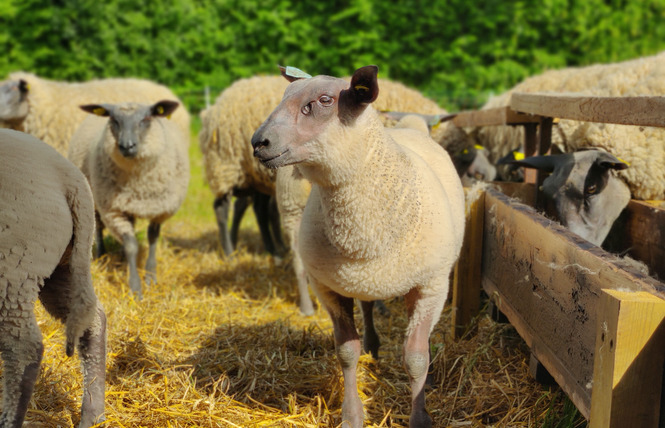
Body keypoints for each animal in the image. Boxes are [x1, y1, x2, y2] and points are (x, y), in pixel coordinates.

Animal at [0, 130, 106, 428]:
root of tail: (67, 177)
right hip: (65, 264)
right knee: (94, 321)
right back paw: (92, 414)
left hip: (15, 266)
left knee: (24, 348)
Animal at [68, 99, 189, 298]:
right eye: (114, 120)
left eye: (147, 118)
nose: (127, 146)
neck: (139, 185)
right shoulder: (114, 210)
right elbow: (131, 245)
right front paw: (135, 288)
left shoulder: (159, 210)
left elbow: (152, 239)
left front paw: (150, 277)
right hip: (95, 197)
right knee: (98, 226)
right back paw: (101, 256)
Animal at [252, 66, 464, 428]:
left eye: (324, 101)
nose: (258, 142)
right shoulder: (327, 286)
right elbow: (346, 353)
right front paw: (352, 415)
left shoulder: (431, 285)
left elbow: (416, 357)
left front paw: (420, 415)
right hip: (362, 279)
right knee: (367, 306)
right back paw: (372, 345)